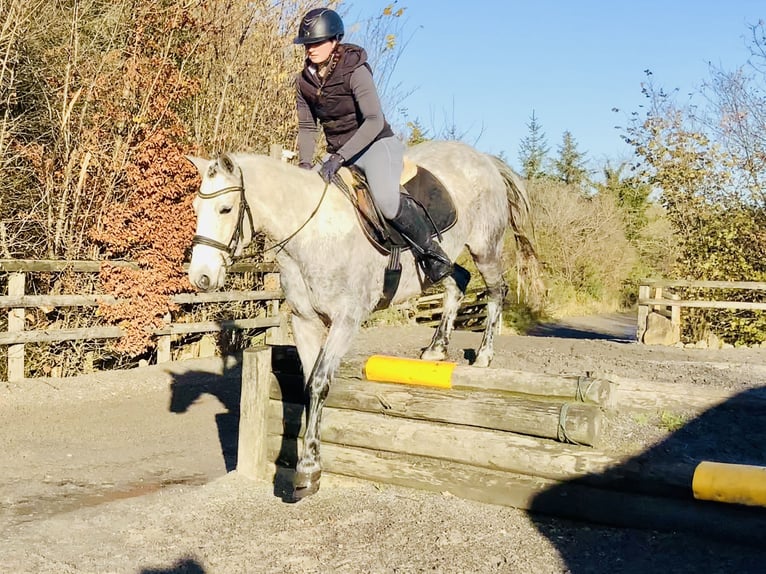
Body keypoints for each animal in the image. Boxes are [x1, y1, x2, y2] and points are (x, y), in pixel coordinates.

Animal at [186, 140, 541, 500]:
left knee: (496, 290)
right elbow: (308, 385)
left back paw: (483, 355)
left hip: (485, 247)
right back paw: (435, 349)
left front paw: (308, 471)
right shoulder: (304, 321)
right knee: (457, 280)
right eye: (196, 209)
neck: (313, 234)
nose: (201, 278)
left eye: (225, 209)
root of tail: (484, 159)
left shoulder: (346, 319)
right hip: (444, 262)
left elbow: (319, 383)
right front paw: (310, 462)